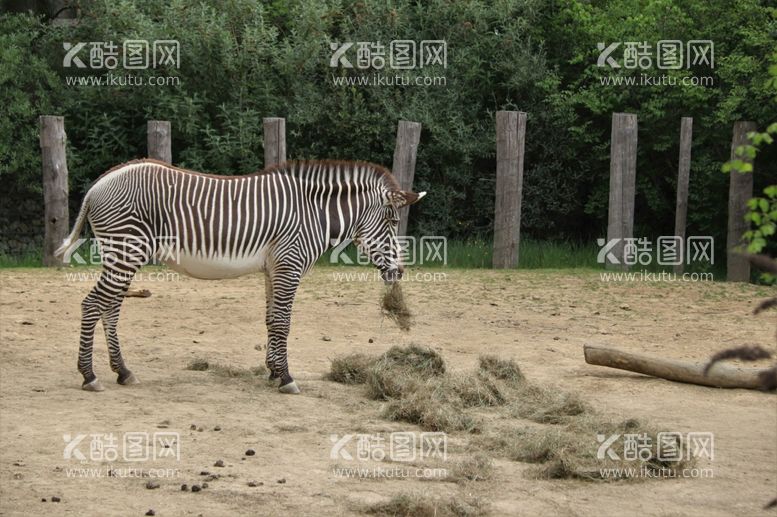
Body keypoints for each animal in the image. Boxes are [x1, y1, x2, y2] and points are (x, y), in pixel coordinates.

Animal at [55, 159, 428, 394]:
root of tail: (99, 184)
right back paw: (89, 375)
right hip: (126, 251)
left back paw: (123, 371)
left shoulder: (273, 268)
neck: (313, 214)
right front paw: (286, 378)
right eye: (393, 222)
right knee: (92, 305)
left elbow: (271, 320)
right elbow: (283, 322)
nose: (399, 272)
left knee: (110, 309)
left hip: (122, 255)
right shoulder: (290, 264)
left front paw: (273, 371)